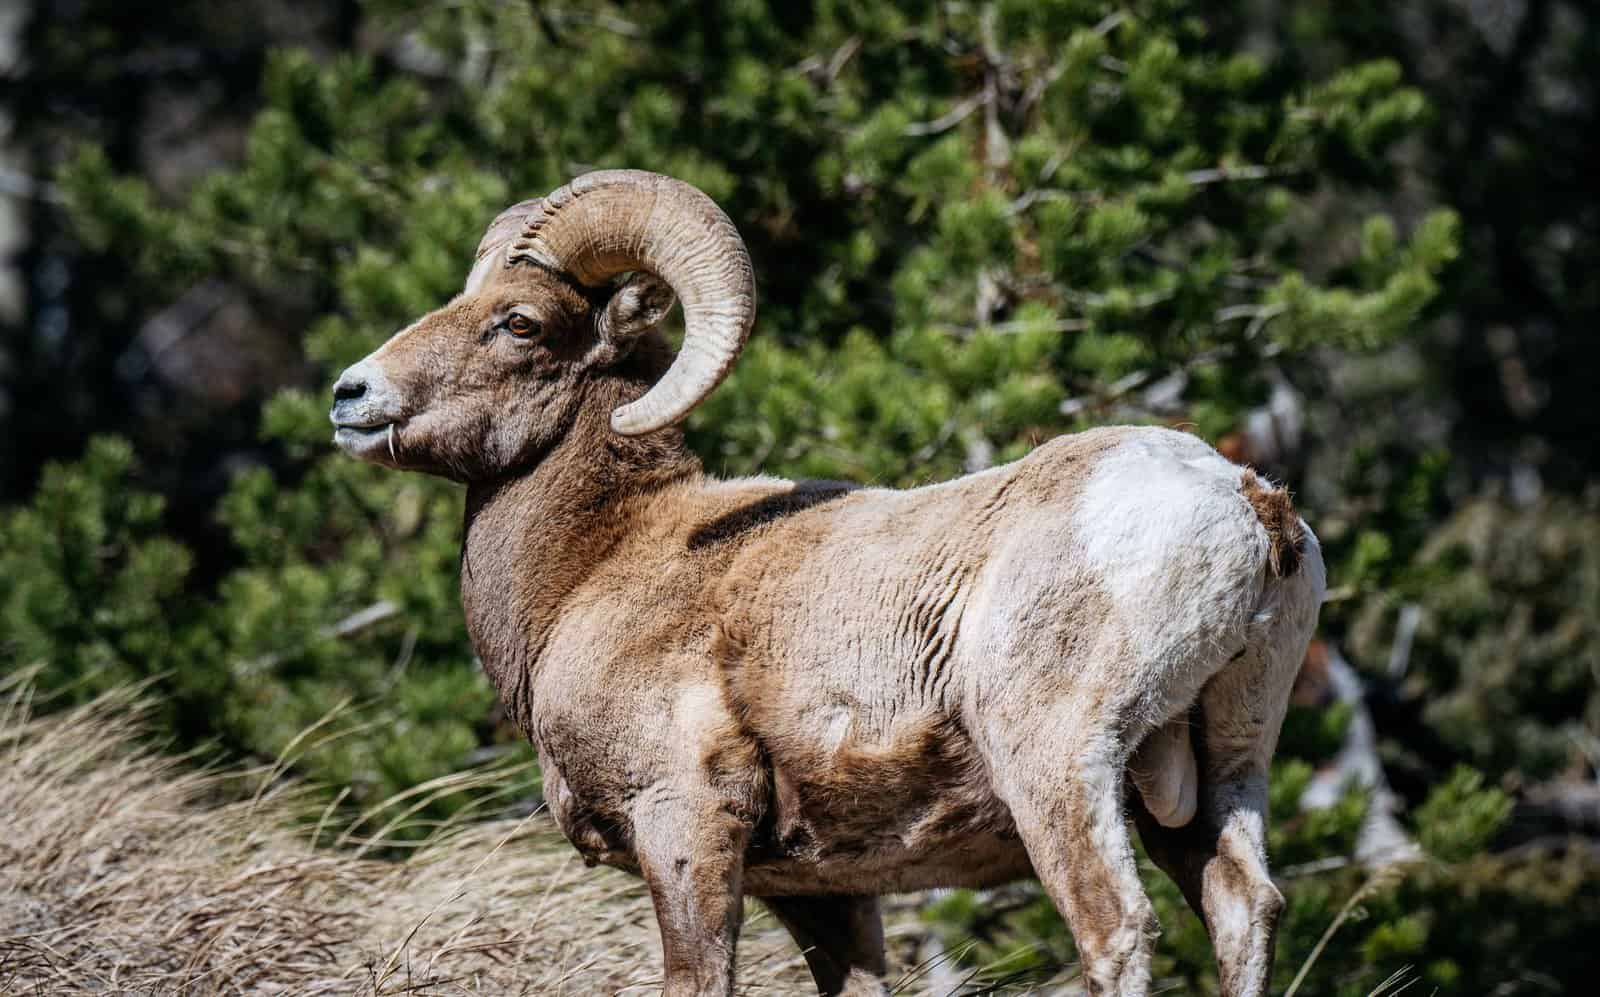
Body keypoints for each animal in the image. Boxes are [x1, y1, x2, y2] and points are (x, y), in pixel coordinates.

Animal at [329, 170, 1325, 997]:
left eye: (520, 322)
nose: (350, 394)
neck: (598, 565)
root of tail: (1245, 501)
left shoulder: (685, 826)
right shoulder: (824, 892)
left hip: (1059, 767)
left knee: (1115, 928)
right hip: (1222, 770)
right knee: (1243, 907)